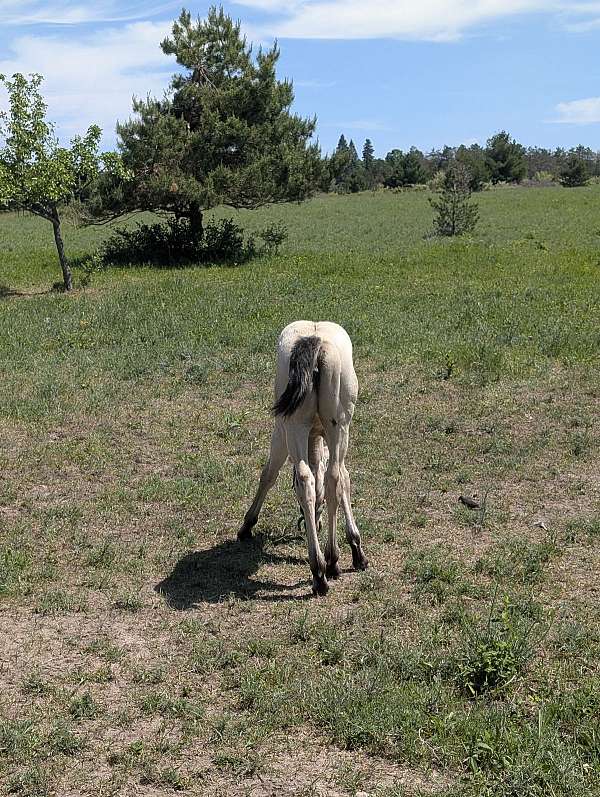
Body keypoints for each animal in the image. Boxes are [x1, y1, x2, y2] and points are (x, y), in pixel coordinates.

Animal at [238, 321, 368, 596]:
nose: (314, 524)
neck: (315, 439)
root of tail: (314, 340)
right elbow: (342, 480)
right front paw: (355, 549)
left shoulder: (280, 433)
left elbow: (268, 474)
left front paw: (247, 524)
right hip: (336, 427)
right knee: (329, 477)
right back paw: (328, 562)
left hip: (294, 426)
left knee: (309, 479)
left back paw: (321, 568)